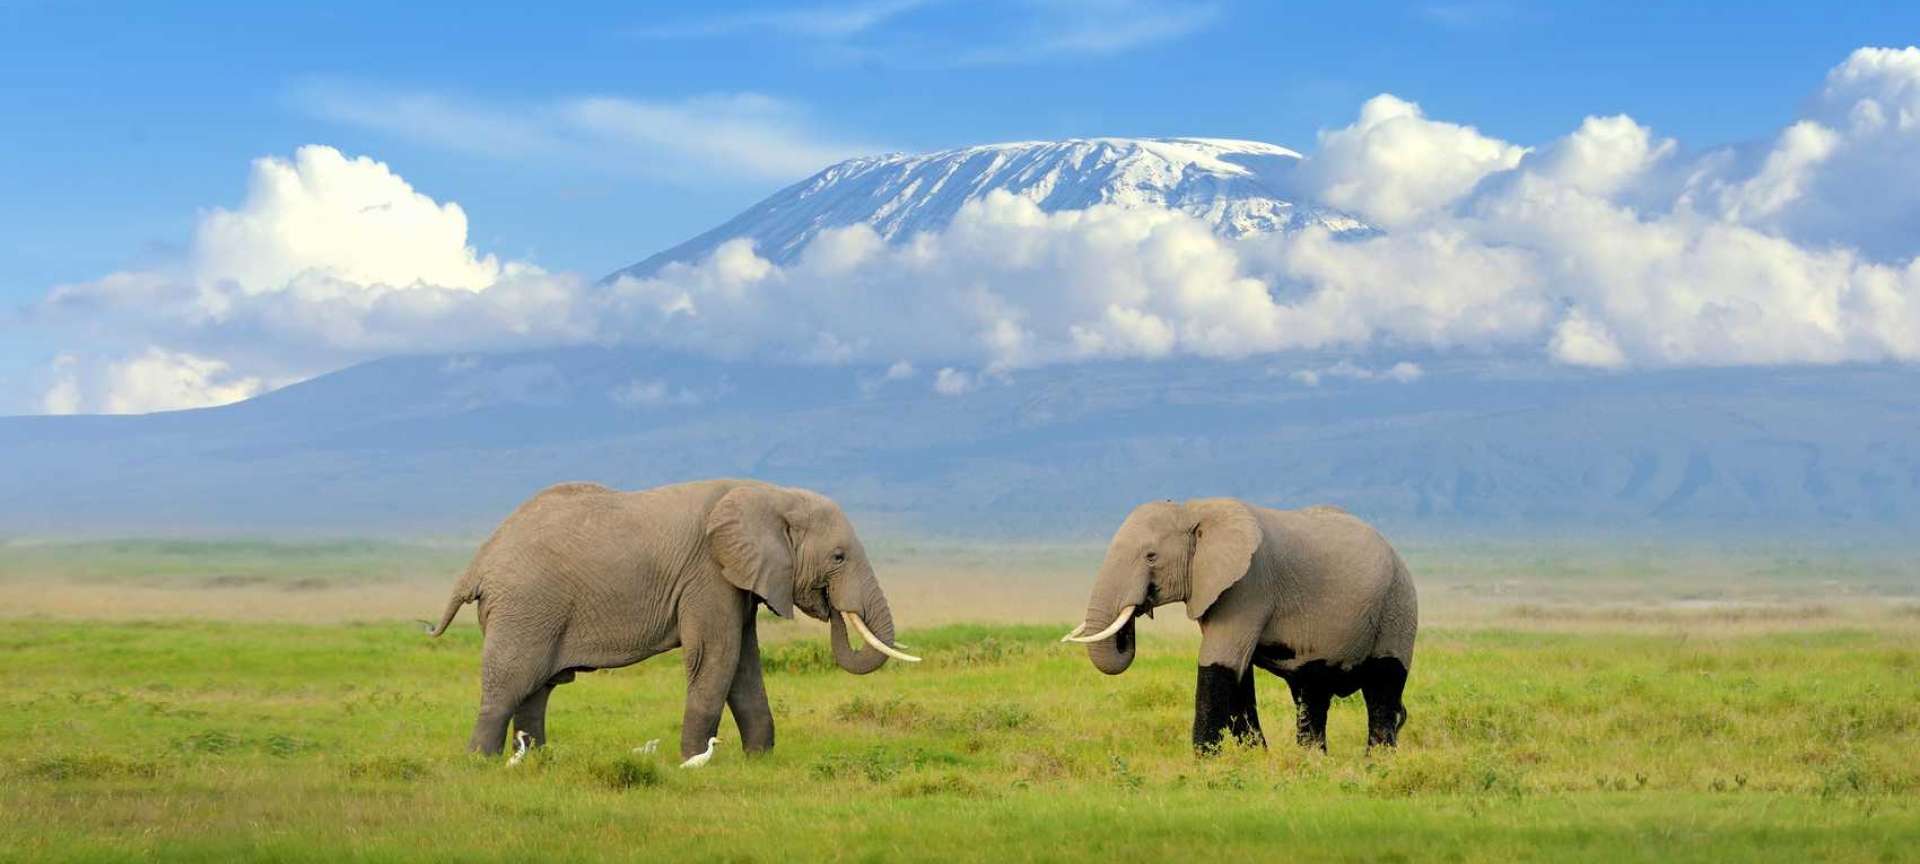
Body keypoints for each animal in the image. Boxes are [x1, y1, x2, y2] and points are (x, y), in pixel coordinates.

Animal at [426, 478, 919, 760]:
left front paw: (759, 761)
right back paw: (481, 763)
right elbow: (717, 657)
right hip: (525, 608)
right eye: (838, 557)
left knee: (537, 689)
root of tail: (480, 560)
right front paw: (693, 761)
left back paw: (538, 759)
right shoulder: (708, 573)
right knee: (511, 683)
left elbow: (744, 663)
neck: (772, 494)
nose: (830, 604)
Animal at [1063, 499, 1416, 754]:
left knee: (1383, 687)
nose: (1138, 610)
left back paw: (1377, 764)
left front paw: (1206, 762)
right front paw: (1255, 756)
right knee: (1312, 693)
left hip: (1398, 607)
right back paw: (1312, 761)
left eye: (1151, 556)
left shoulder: (1248, 586)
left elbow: (1219, 663)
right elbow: (1238, 674)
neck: (1195, 509)